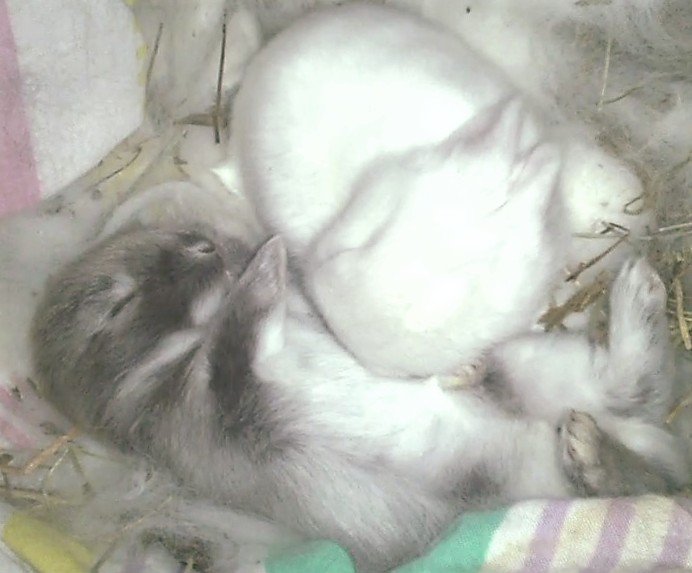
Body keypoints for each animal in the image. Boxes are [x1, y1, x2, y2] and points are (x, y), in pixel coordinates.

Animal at [31, 224, 689, 572]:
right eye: (117, 304)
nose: (203, 244)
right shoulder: (224, 405)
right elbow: (239, 337)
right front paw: (267, 265)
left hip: (546, 369)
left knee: (635, 390)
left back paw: (637, 293)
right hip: (536, 466)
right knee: (633, 475)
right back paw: (592, 447)